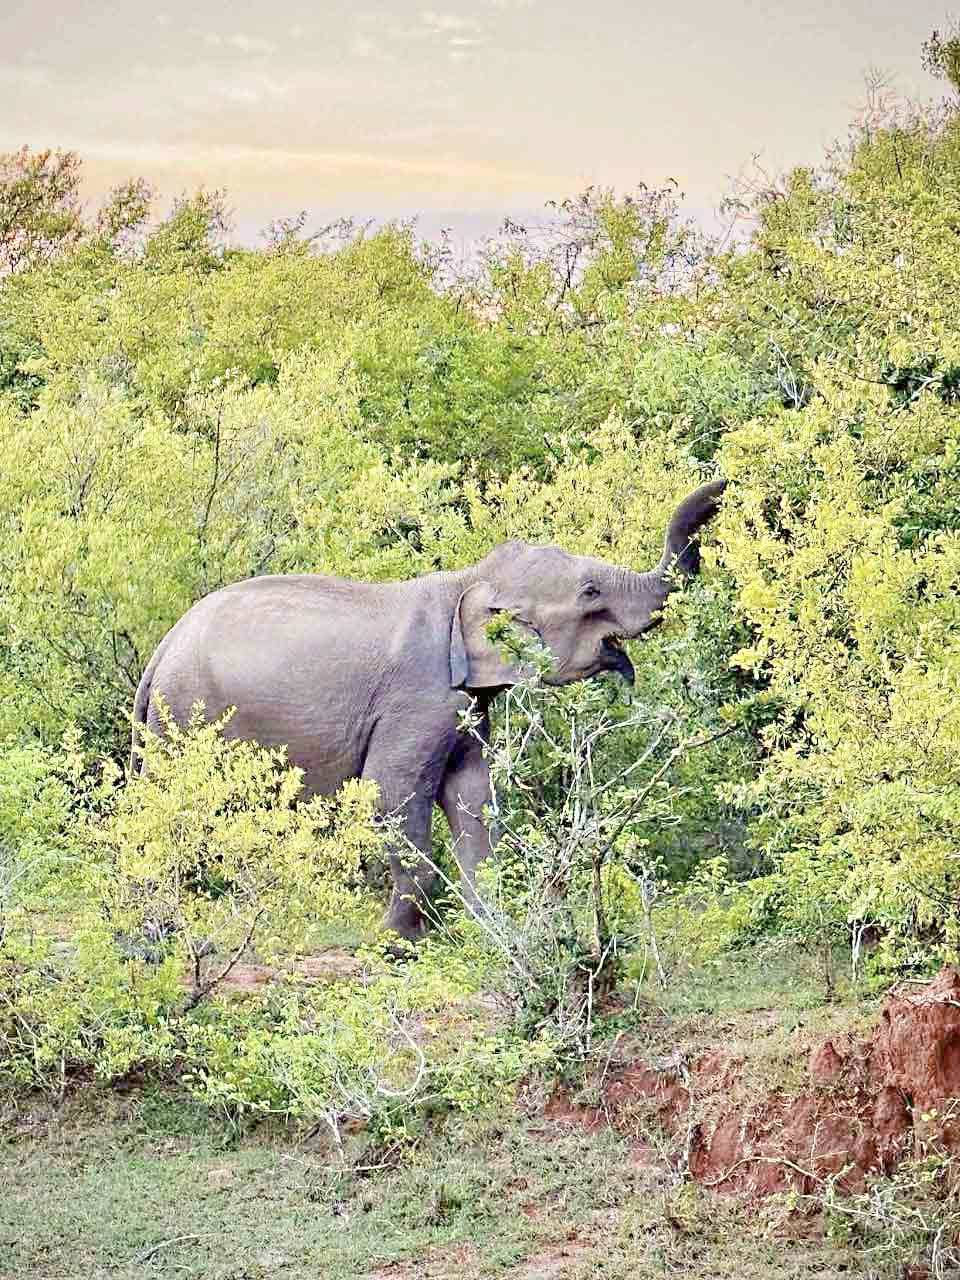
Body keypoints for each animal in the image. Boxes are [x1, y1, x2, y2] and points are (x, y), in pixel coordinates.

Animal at [130, 479, 725, 941]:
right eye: (590, 592)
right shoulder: (418, 697)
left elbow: (473, 793)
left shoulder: (466, 703)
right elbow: (392, 790)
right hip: (184, 713)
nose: (721, 480)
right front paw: (400, 943)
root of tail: (161, 649)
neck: (467, 580)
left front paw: (496, 931)